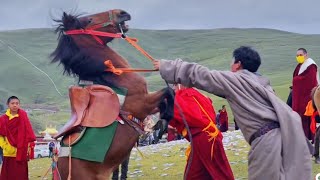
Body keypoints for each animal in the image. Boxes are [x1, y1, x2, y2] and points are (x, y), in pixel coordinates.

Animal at [51, 9, 174, 180]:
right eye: (89, 20)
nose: (122, 13)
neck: (116, 78)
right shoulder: (143, 104)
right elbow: (169, 92)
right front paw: (165, 119)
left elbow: (165, 99)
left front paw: (161, 123)